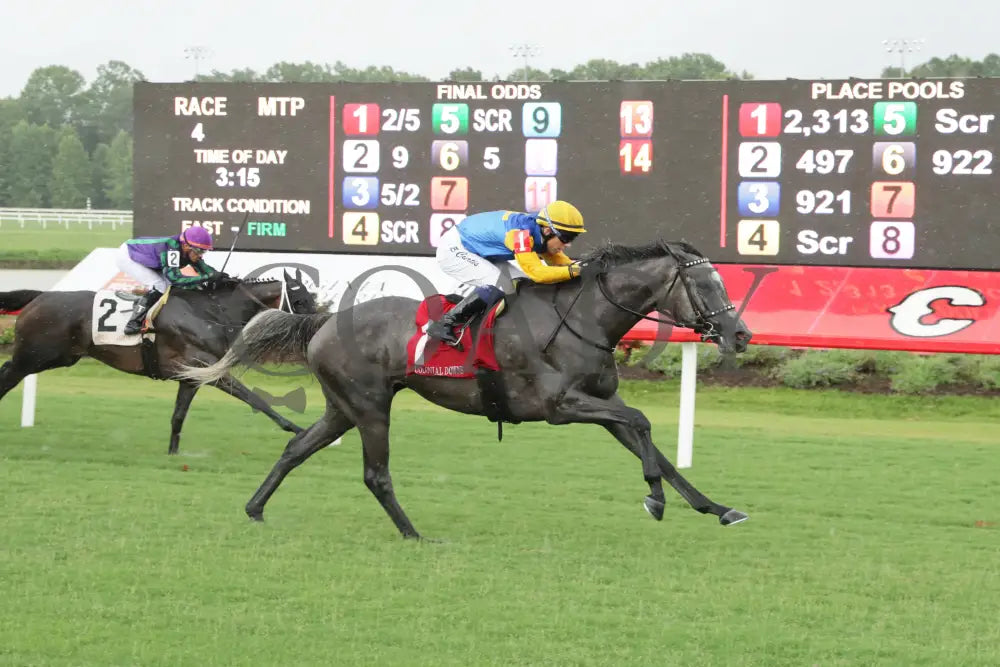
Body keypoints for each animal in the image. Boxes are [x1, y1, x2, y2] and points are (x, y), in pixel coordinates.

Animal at [0, 272, 316, 454]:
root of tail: (39, 295)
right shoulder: (208, 369)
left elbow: (178, 416)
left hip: (58, 357)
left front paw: (173, 454)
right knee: (7, 374)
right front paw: (297, 429)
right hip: (35, 356)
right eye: (301, 300)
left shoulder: (191, 376)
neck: (210, 312)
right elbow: (255, 399)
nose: (315, 327)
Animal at [180, 240, 752, 536]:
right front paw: (655, 499)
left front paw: (716, 507)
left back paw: (256, 508)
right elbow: (643, 424)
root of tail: (323, 322)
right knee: (375, 474)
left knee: (297, 447)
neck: (580, 318)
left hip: (343, 407)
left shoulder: (602, 400)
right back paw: (412, 532)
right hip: (370, 406)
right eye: (706, 285)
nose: (741, 334)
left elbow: (652, 444)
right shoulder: (561, 405)